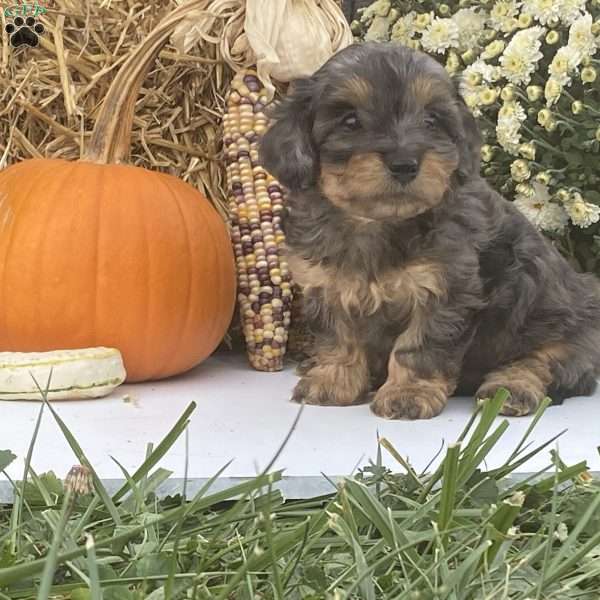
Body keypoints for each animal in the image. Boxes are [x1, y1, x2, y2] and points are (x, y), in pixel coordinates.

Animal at [260, 42, 600, 420]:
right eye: (350, 121)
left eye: (431, 120)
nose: (405, 164)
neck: (376, 224)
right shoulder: (326, 286)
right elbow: (339, 338)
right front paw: (332, 380)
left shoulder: (446, 290)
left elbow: (419, 346)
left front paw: (408, 392)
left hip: (564, 328)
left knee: (543, 363)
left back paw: (510, 390)